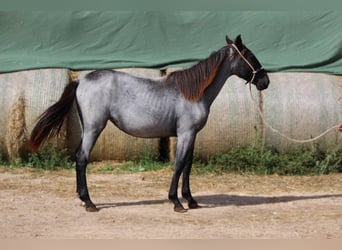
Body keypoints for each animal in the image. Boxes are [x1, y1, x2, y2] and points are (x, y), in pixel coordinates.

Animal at [29, 34, 270, 211]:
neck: (193, 93)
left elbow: (188, 165)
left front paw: (191, 200)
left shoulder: (192, 135)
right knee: (81, 158)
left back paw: (83, 199)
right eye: (249, 54)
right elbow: (179, 164)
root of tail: (80, 80)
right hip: (93, 128)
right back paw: (89, 202)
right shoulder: (185, 134)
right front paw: (176, 202)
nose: (265, 81)